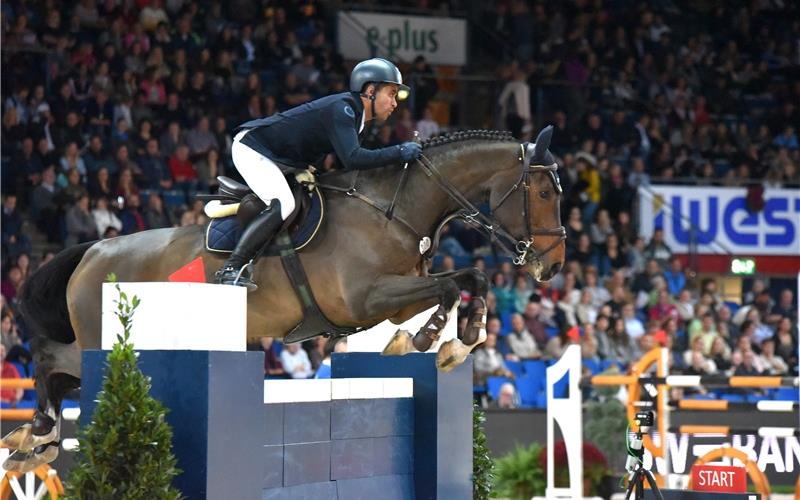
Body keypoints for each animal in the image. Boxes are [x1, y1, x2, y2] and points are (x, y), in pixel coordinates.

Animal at [1, 126, 564, 472]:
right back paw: (38, 436)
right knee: (51, 361)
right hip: (104, 340)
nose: (553, 265)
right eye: (543, 193)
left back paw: (33, 441)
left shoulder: (394, 298)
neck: (394, 209)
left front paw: (460, 336)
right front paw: (431, 340)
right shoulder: (364, 299)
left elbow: (472, 278)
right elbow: (449, 286)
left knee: (58, 370)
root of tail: (94, 249)